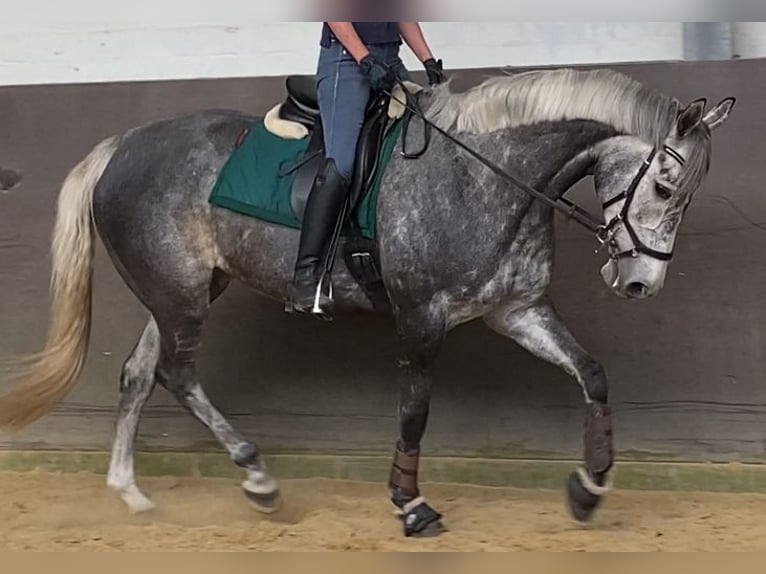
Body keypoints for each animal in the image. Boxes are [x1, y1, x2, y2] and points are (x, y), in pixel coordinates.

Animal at [0, 67, 735, 537]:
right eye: (664, 186)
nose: (640, 285)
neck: (486, 175)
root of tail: (122, 144)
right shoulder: (421, 317)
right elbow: (415, 413)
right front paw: (410, 506)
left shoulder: (518, 310)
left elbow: (593, 373)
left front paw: (589, 490)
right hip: (178, 295)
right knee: (176, 373)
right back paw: (258, 480)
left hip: (183, 288)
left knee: (138, 373)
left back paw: (131, 493)